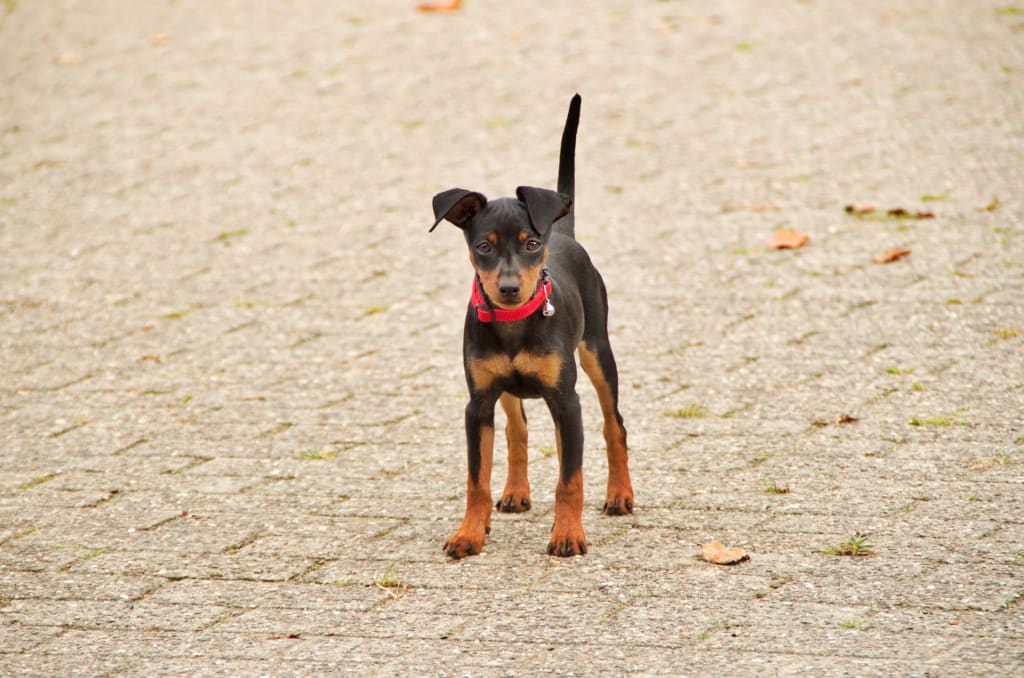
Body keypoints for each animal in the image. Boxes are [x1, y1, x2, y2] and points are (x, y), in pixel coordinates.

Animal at [430, 94, 634, 558]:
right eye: (483, 247)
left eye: (532, 244)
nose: (508, 288)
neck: (513, 324)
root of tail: (565, 231)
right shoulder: (478, 404)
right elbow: (476, 480)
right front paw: (469, 532)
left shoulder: (567, 399)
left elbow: (570, 479)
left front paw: (567, 534)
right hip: (508, 390)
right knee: (517, 428)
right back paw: (515, 492)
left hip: (597, 354)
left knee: (612, 425)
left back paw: (619, 495)